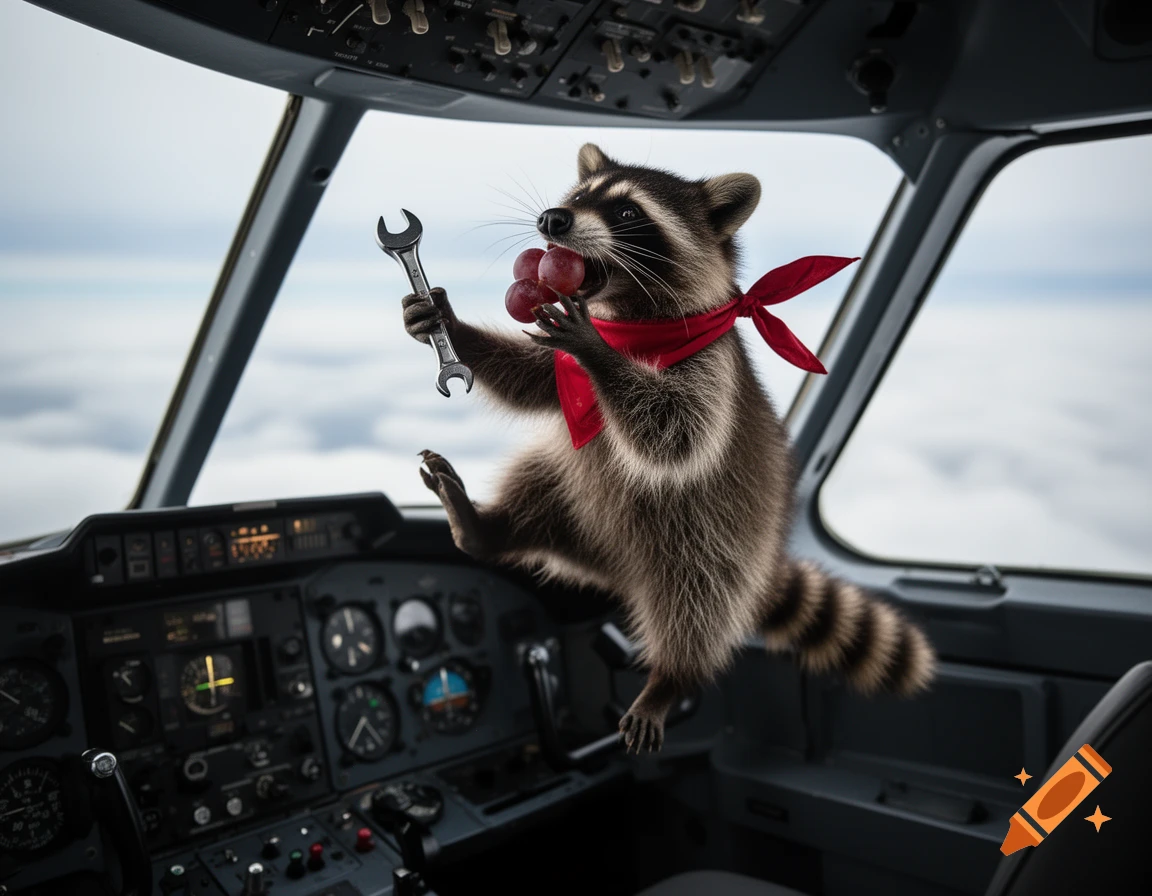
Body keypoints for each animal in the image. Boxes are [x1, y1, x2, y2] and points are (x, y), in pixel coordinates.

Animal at [402, 143, 936, 753]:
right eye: (577, 197)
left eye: (628, 212)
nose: (553, 220)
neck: (628, 317)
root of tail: (617, 567)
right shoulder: (564, 361)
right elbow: (537, 381)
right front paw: (451, 328)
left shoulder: (710, 368)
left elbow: (675, 434)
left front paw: (596, 352)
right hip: (575, 503)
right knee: (543, 477)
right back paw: (484, 528)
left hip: (720, 544)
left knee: (697, 607)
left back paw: (670, 678)